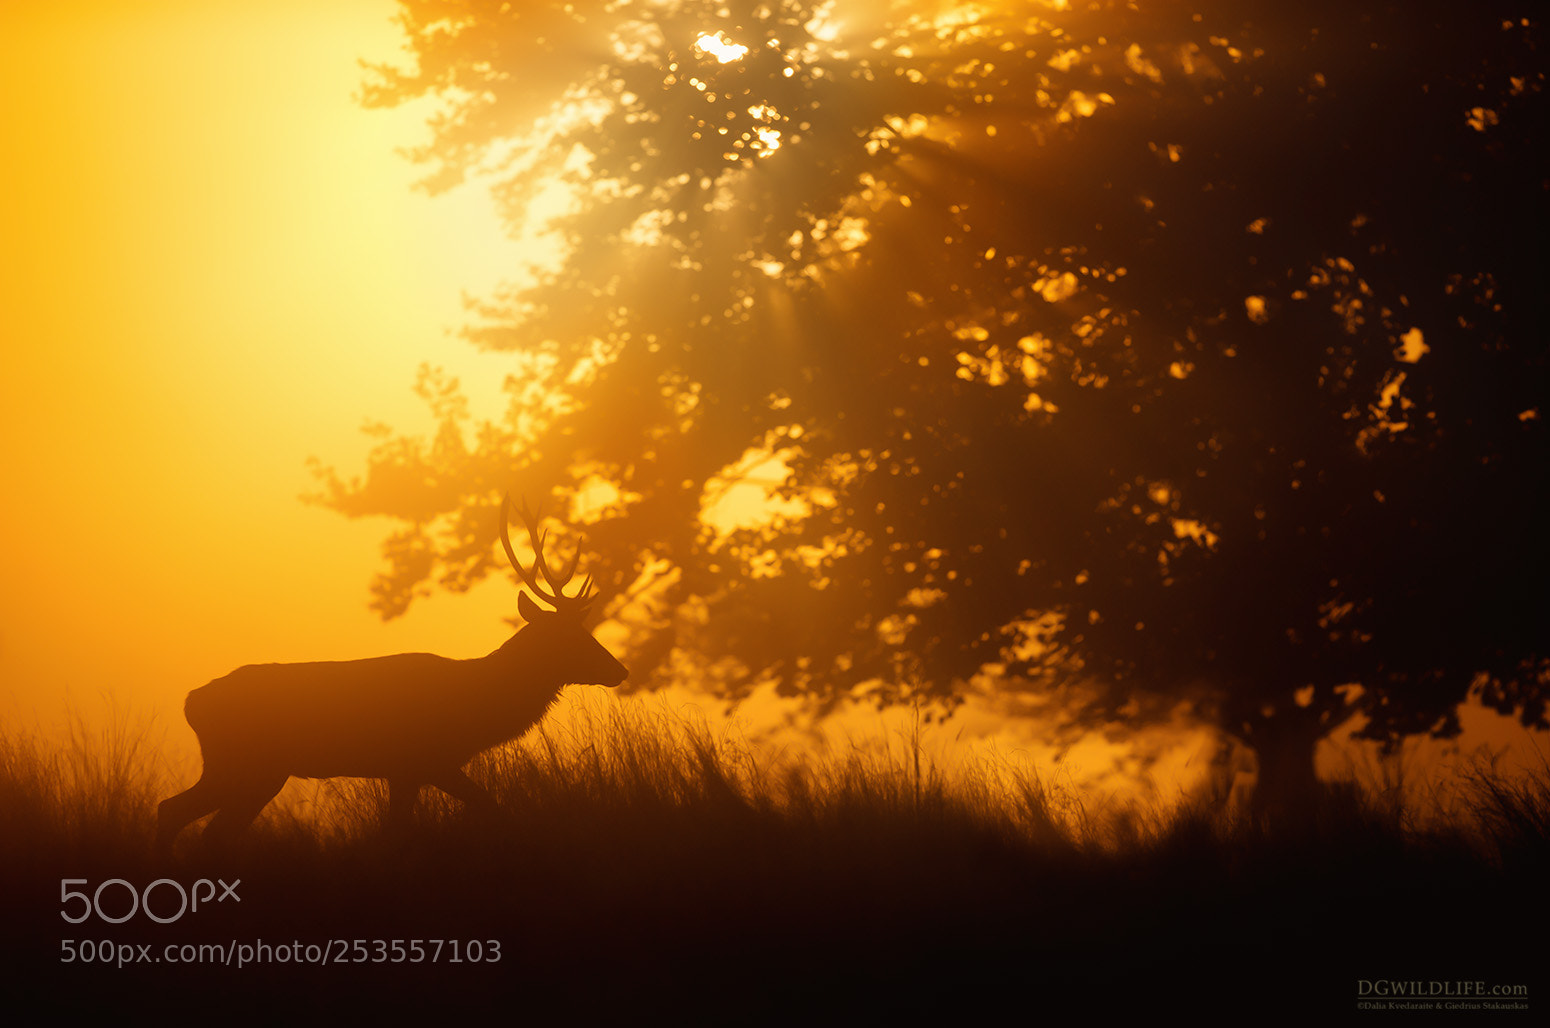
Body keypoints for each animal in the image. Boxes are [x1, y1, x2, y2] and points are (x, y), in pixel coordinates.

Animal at [156, 495, 627, 854]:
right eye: (571, 637)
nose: (619, 669)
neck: (475, 704)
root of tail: (191, 702)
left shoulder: (409, 770)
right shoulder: (425, 759)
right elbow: (481, 810)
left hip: (253, 771)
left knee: (196, 823)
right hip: (244, 764)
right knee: (179, 815)